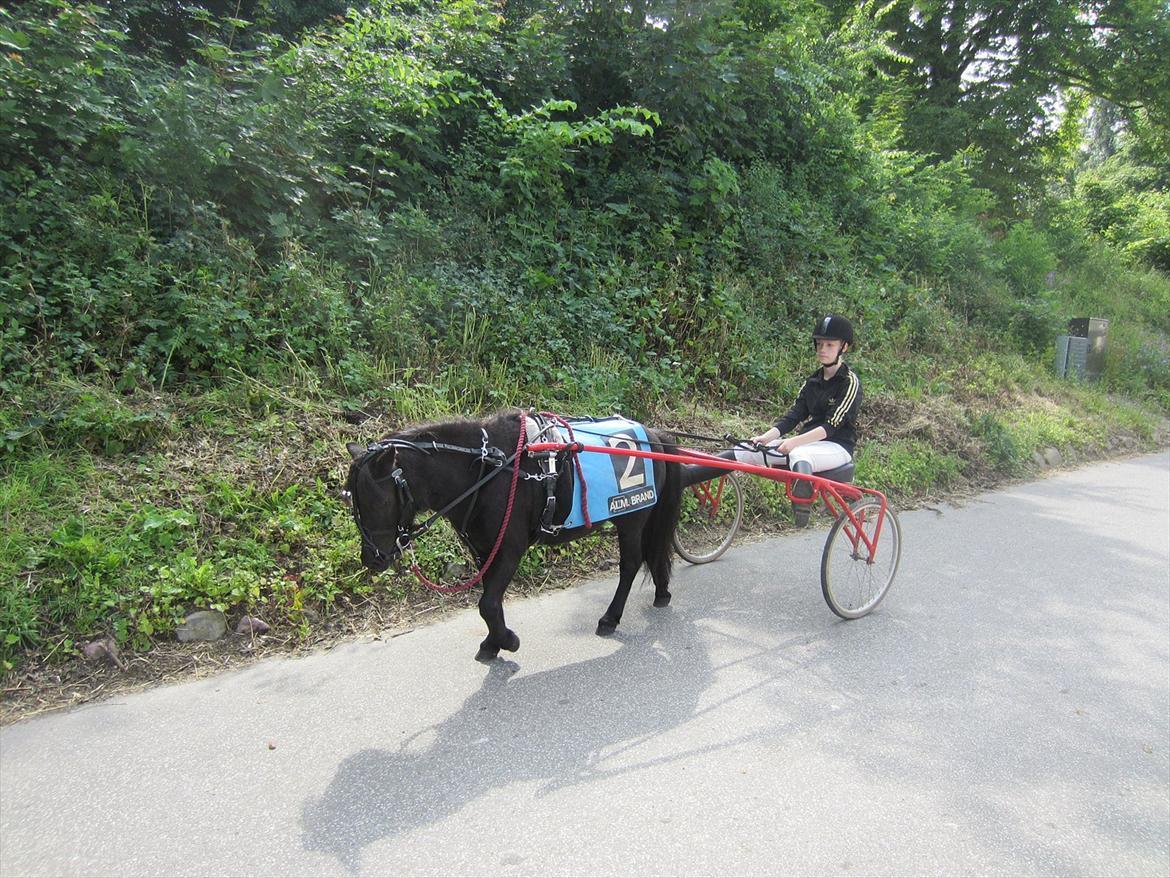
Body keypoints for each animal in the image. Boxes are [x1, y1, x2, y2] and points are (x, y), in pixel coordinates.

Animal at [341, 412, 683, 660]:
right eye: (350, 499)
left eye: (376, 501)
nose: (372, 558)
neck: (488, 470)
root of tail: (654, 434)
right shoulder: (484, 549)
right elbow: (490, 600)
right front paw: (493, 641)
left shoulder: (510, 548)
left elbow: (488, 604)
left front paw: (506, 640)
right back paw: (661, 592)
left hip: (632, 518)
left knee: (630, 565)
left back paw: (610, 617)